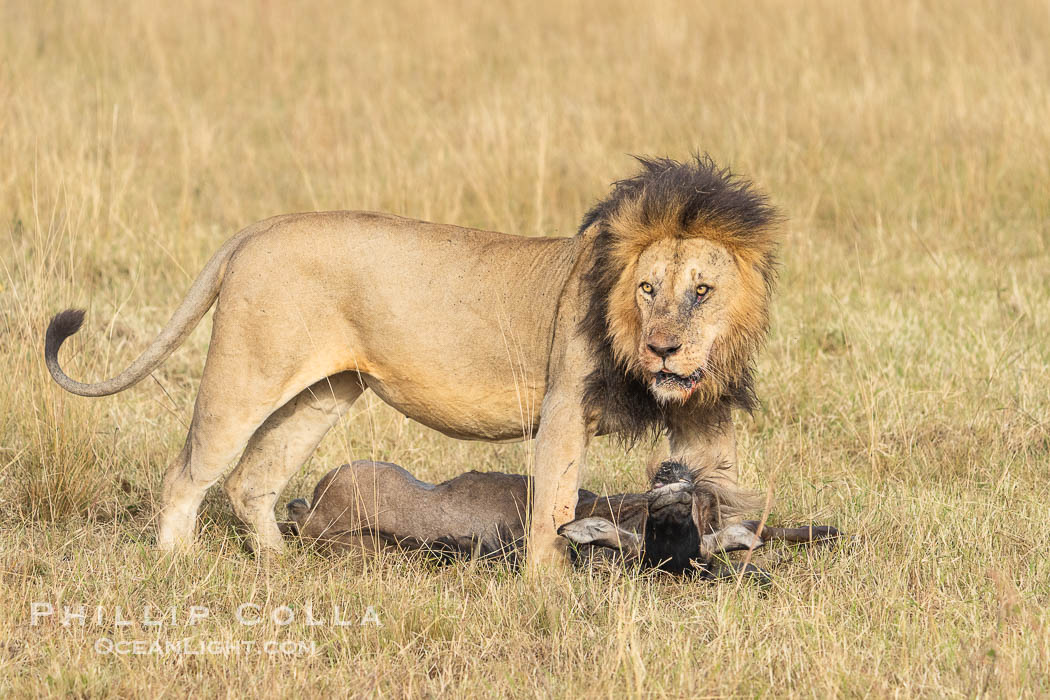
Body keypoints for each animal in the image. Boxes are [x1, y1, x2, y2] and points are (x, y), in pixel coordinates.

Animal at [43, 152, 781, 570]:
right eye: (647, 288)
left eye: (702, 291)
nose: (663, 348)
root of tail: (259, 229)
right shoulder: (564, 406)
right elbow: (553, 506)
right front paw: (547, 590)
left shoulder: (704, 417)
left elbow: (721, 490)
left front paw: (728, 555)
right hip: (245, 374)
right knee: (188, 474)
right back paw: (178, 564)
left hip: (324, 393)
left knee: (252, 481)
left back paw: (286, 564)